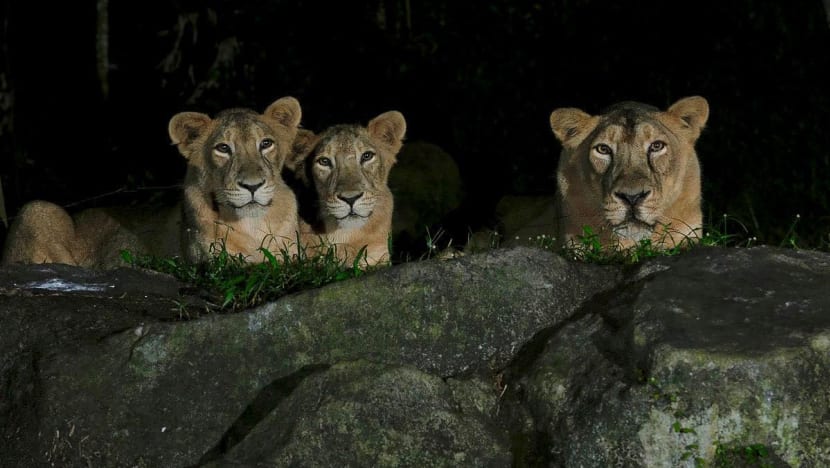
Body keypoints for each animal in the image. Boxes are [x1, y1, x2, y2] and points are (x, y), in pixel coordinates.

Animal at [1, 97, 302, 268]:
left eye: (266, 144)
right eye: (223, 148)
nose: (252, 186)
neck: (253, 223)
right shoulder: (210, 263)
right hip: (36, 209)